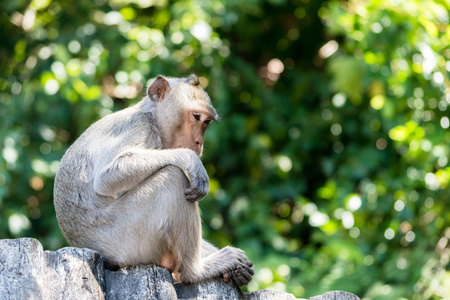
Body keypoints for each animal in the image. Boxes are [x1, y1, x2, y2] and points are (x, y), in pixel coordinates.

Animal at [52, 74, 253, 286]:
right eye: (197, 117)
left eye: (207, 122)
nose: (199, 143)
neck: (151, 116)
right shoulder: (139, 125)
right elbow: (106, 177)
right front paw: (191, 159)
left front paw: (239, 271)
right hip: (127, 238)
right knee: (172, 176)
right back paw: (197, 271)